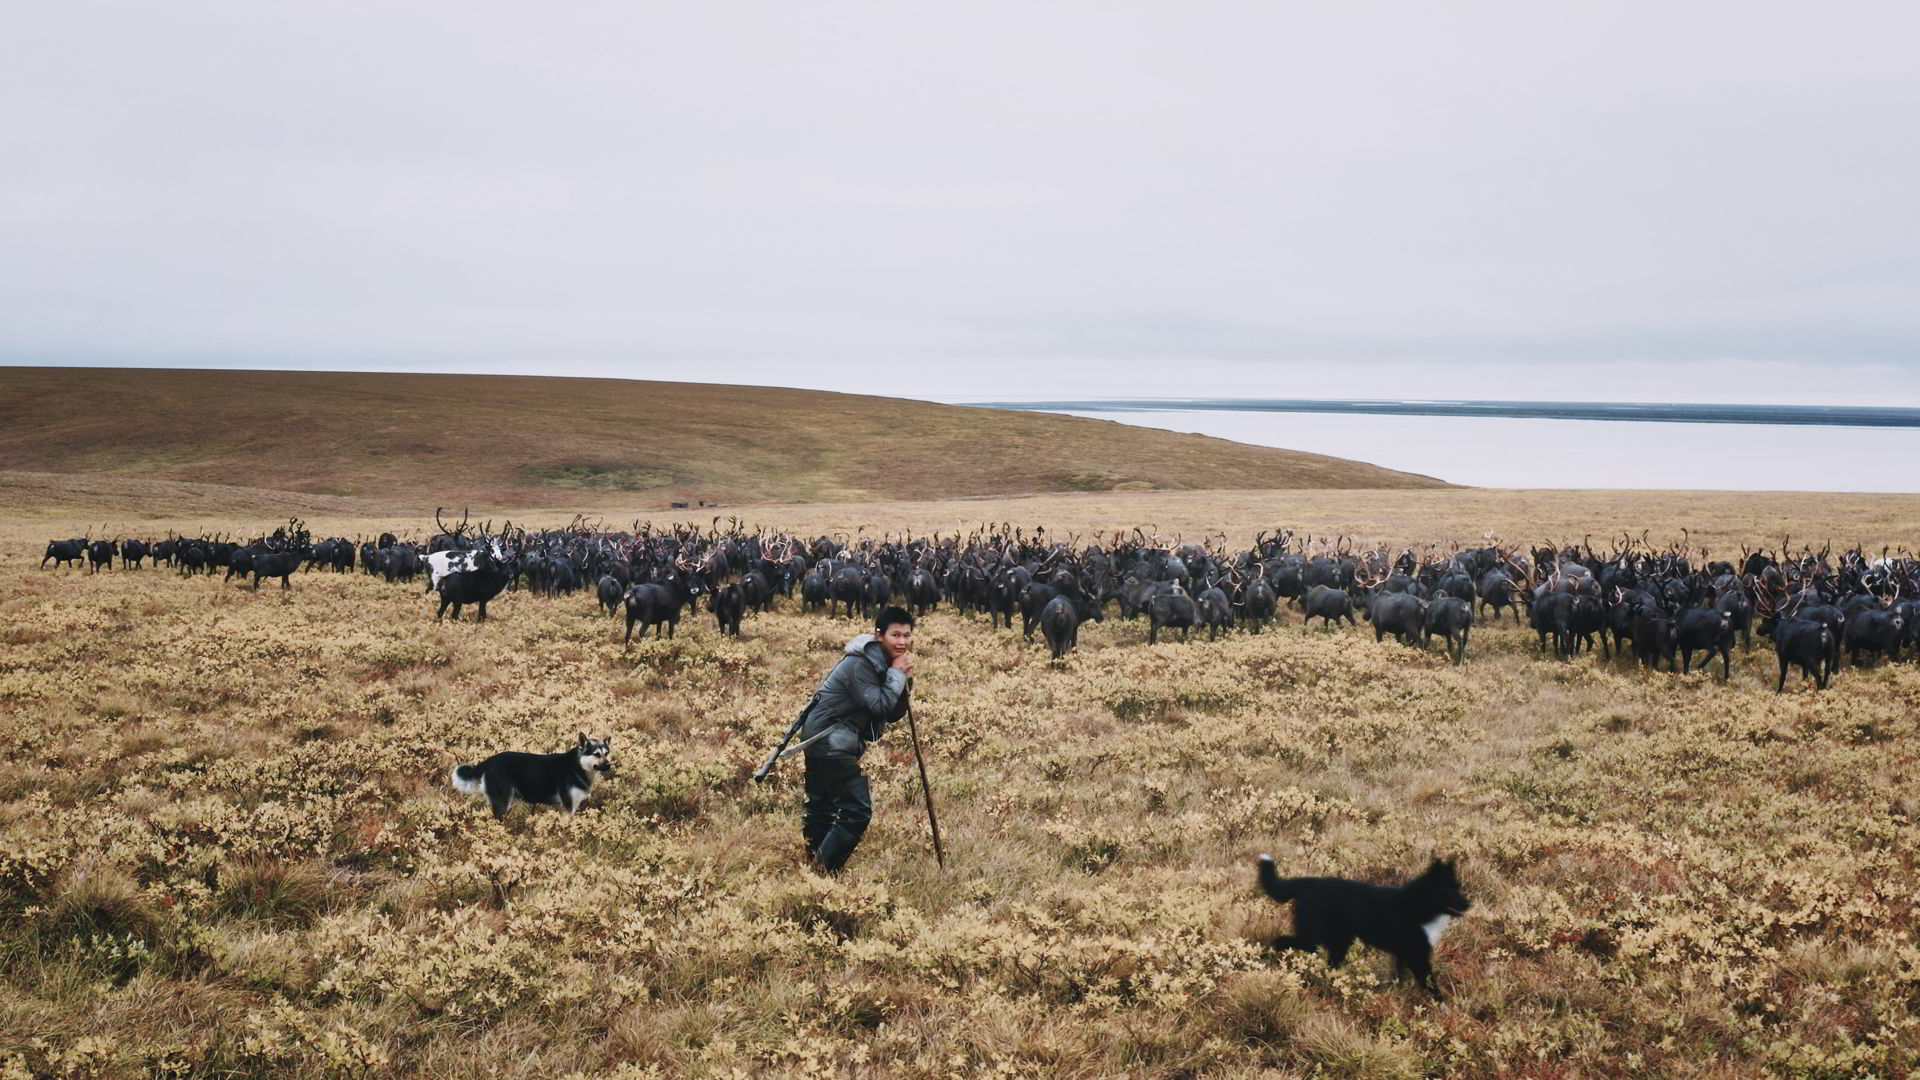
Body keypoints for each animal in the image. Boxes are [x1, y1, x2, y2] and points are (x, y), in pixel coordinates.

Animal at [451, 730, 614, 814]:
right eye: (596, 754)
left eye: (607, 753)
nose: (608, 766)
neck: (576, 766)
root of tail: (489, 761)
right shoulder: (568, 807)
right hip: (502, 802)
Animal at [1259, 853, 1466, 999]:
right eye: (1448, 889)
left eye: (1458, 886)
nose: (1468, 904)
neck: (1420, 905)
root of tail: (1311, 882)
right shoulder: (1417, 956)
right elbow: (1431, 985)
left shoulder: (1404, 953)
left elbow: (1398, 977)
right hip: (1314, 938)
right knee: (1281, 940)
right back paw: (1269, 961)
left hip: (1339, 942)